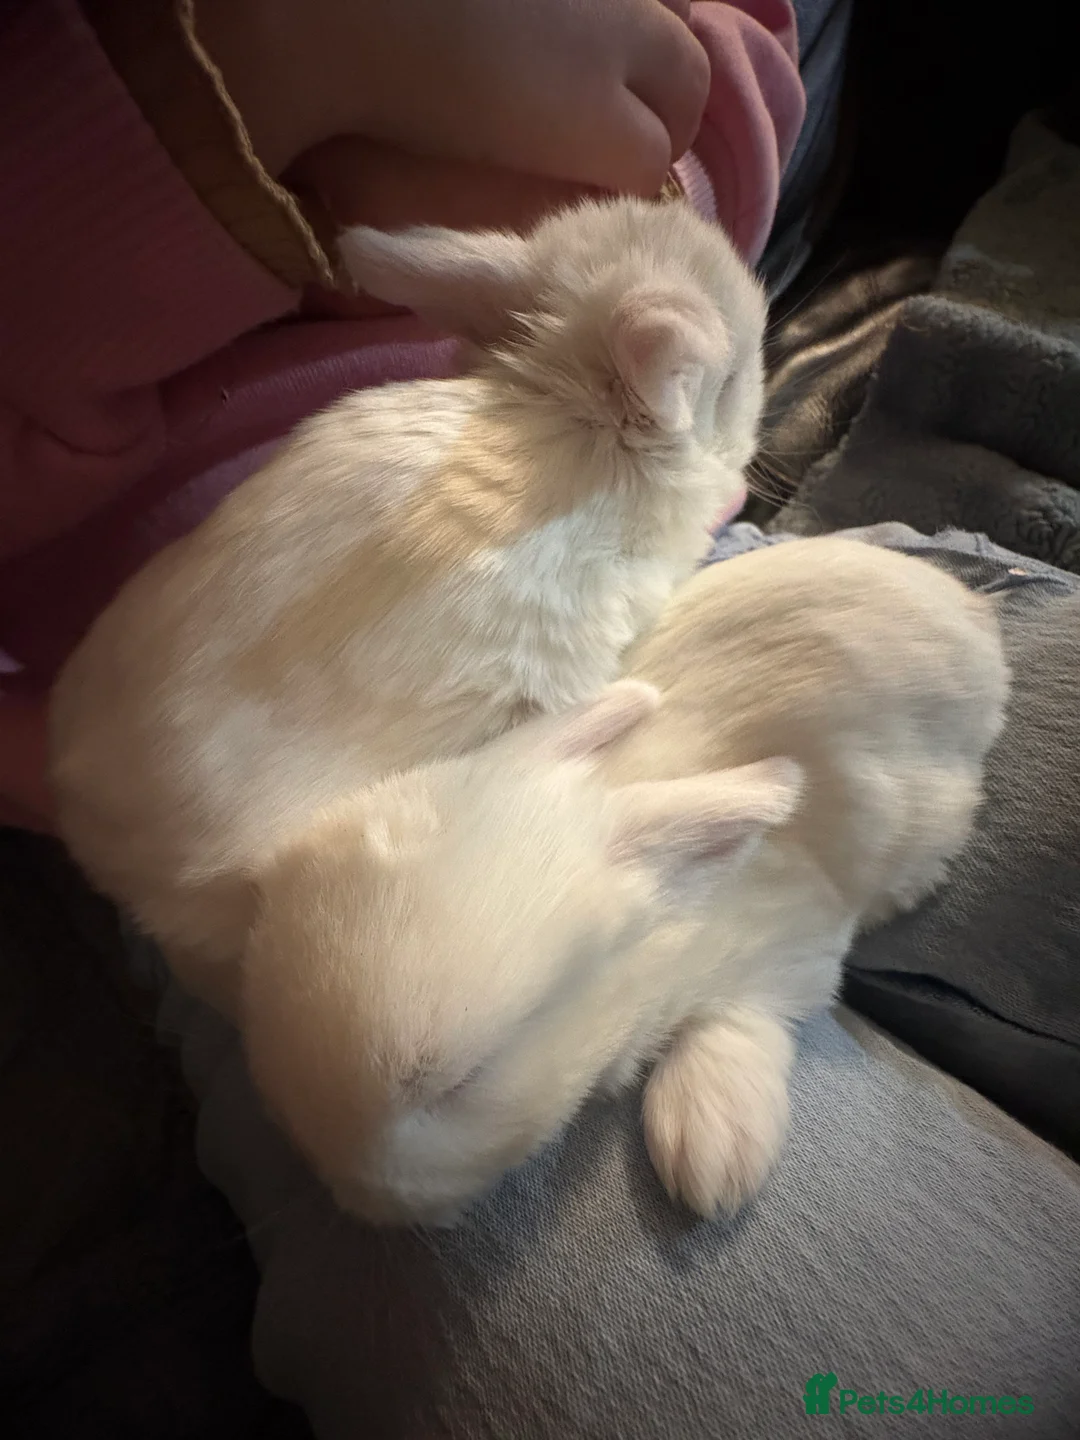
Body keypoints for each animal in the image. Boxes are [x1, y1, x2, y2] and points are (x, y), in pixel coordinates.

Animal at [239, 536, 1008, 1225]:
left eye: (465, 1080)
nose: (348, 1195)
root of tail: (971, 609)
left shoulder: (791, 952)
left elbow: (743, 1020)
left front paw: (712, 1154)